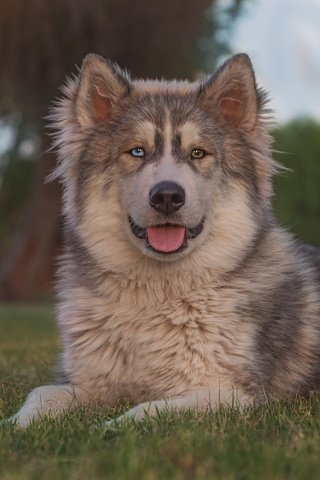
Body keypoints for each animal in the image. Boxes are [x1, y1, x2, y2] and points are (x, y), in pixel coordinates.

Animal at [8, 52, 320, 428]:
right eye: (137, 152)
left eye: (198, 153)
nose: (167, 196)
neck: (157, 297)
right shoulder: (88, 381)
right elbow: (42, 394)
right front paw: (18, 426)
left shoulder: (233, 394)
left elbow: (148, 410)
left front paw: (107, 427)